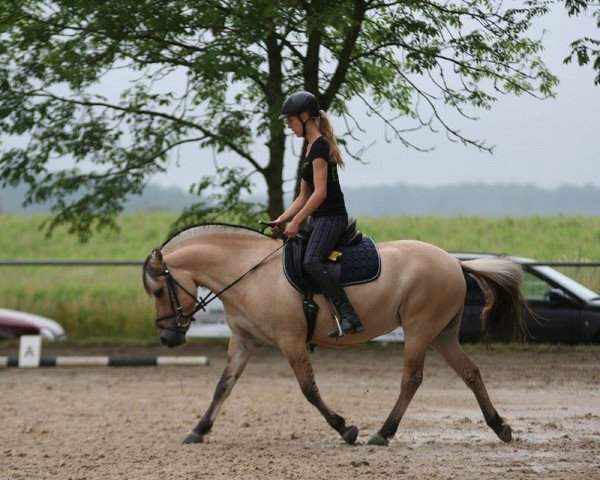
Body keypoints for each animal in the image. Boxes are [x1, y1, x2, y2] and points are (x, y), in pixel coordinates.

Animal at [142, 223, 524, 448]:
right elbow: (223, 386)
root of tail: (454, 262)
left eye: (159, 290)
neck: (249, 273)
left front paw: (345, 428)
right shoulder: (243, 342)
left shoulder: (291, 341)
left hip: (419, 329)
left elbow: (309, 390)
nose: (168, 339)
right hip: (441, 334)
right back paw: (500, 427)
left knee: (412, 379)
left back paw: (382, 433)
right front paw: (198, 430)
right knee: (470, 372)